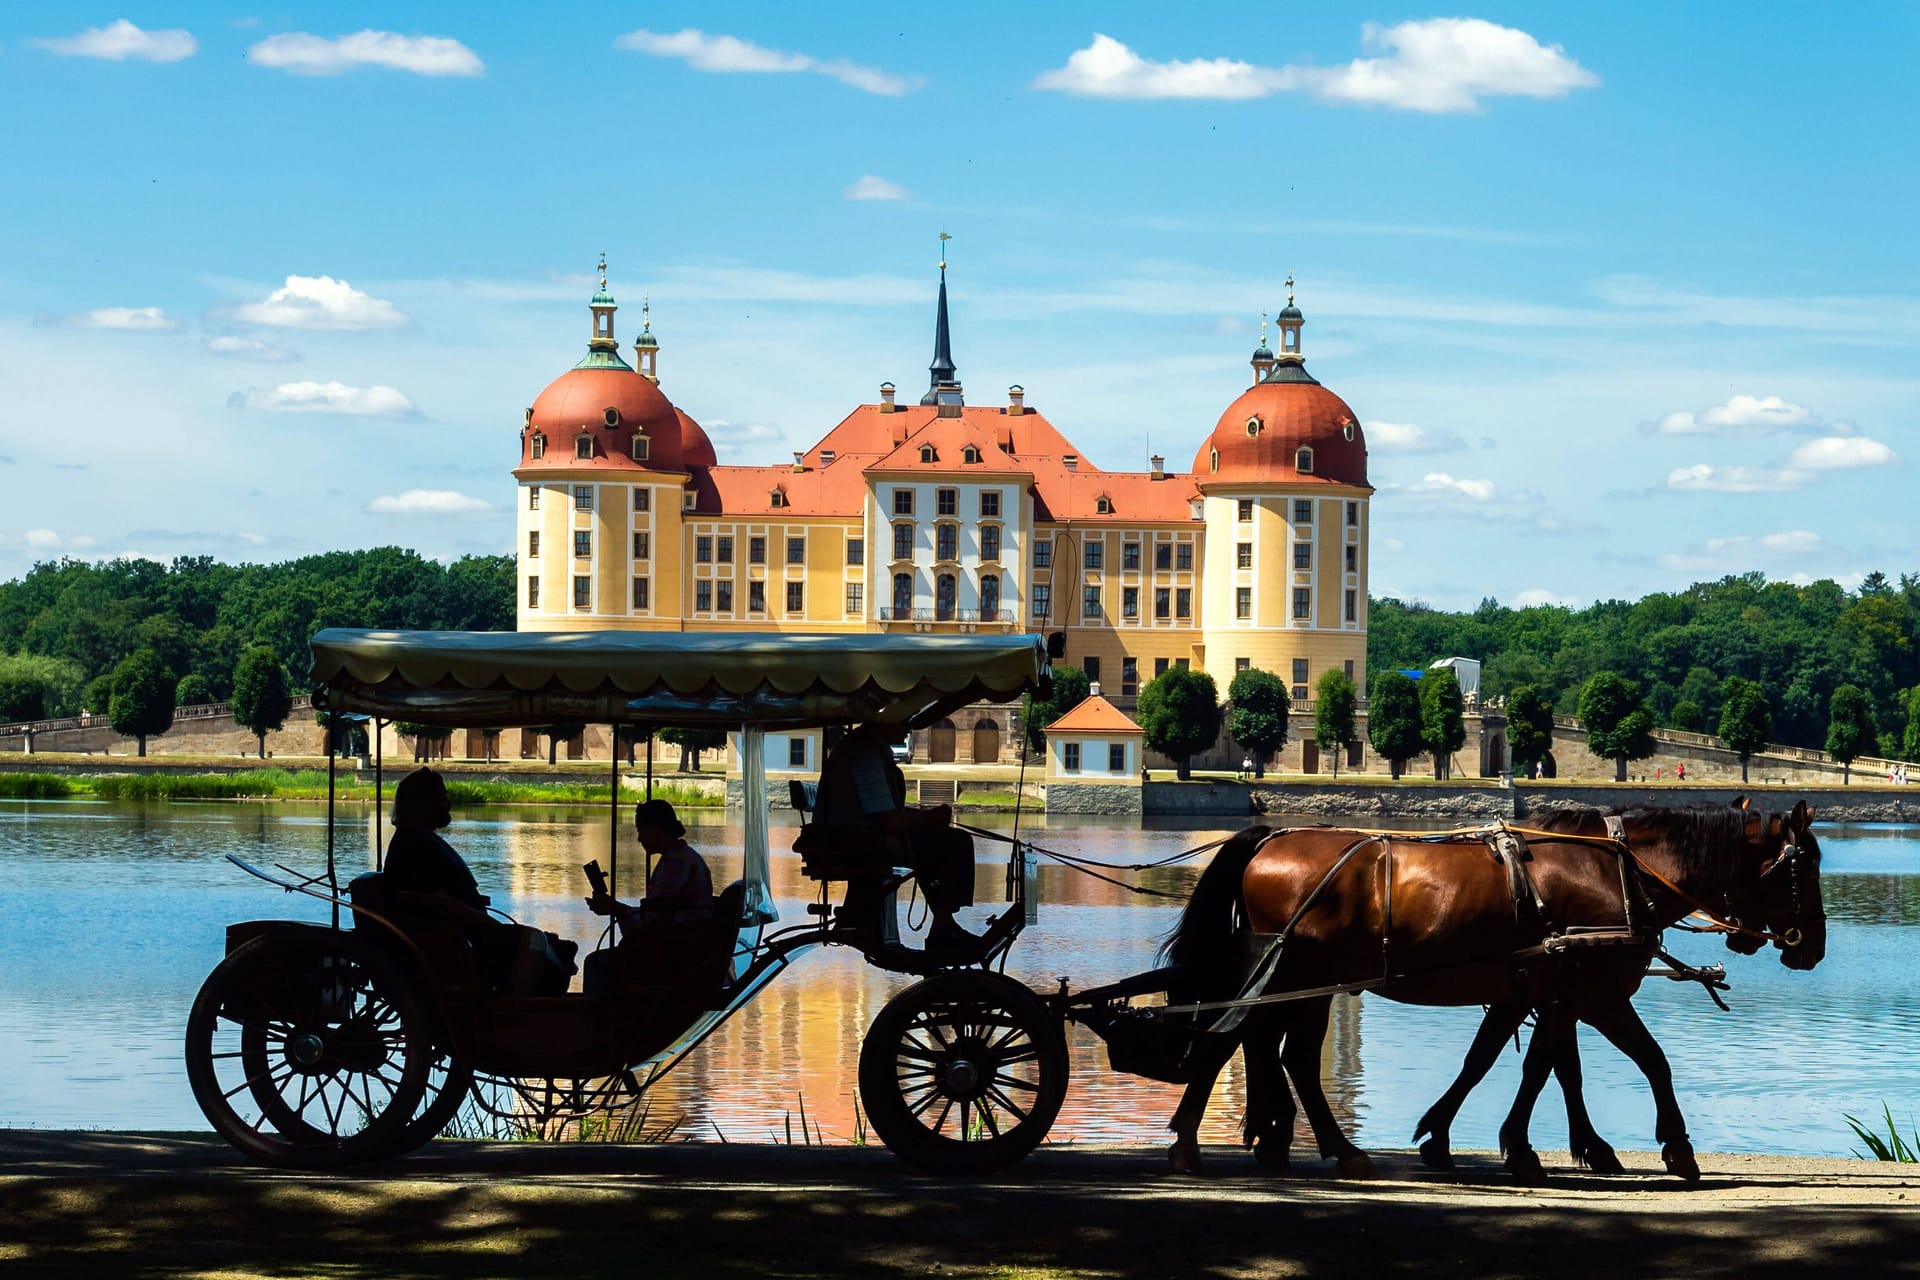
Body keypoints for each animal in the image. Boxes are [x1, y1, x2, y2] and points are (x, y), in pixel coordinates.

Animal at [1159, 802, 1820, 1182]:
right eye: (1806, 864)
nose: (1812, 947)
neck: (1619, 873)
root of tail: (1270, 839)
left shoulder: (1537, 994)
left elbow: (1516, 1064)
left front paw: (1464, 1138)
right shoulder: (1595, 996)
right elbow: (1637, 1062)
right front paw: (1666, 1147)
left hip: (1298, 982)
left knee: (1258, 1047)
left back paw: (1272, 1140)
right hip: (1303, 978)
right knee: (1257, 1049)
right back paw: (1279, 1145)